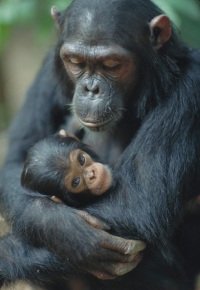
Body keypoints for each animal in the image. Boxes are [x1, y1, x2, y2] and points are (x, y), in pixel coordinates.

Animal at [0, 0, 200, 288]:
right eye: (75, 62)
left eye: (111, 65)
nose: (91, 89)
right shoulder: (49, 70)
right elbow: (16, 158)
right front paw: (65, 230)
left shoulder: (191, 90)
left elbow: (136, 204)